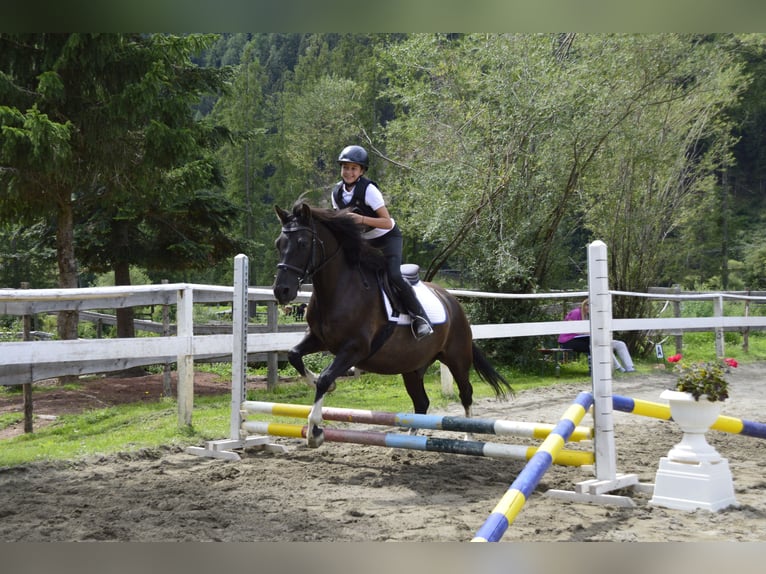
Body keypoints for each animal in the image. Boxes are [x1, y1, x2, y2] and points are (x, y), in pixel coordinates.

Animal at [272, 202, 512, 450]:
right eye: (279, 244)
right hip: (412, 366)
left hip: (457, 358)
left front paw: (314, 431)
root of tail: (452, 301)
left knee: (466, 393)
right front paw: (319, 385)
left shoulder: (355, 349)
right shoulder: (319, 339)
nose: (281, 291)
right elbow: (294, 355)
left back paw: (468, 437)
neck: (340, 288)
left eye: (302, 243)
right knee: (421, 402)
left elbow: (325, 377)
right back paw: (411, 438)